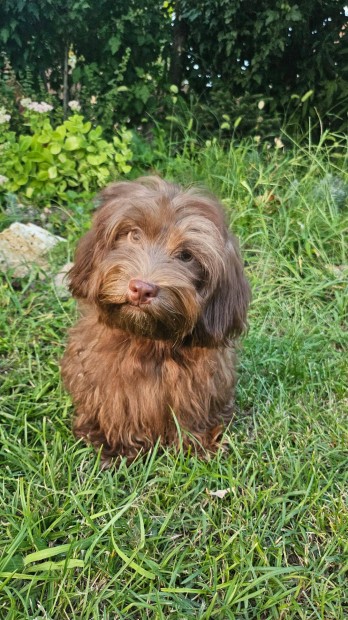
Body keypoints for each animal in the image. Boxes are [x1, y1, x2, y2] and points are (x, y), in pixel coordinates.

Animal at [60, 174, 250, 460]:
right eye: (134, 234)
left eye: (186, 256)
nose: (141, 288)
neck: (148, 340)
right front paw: (113, 445)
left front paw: (200, 442)